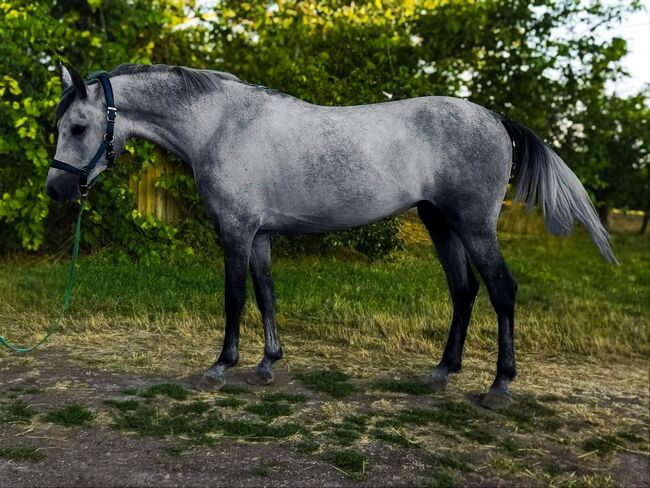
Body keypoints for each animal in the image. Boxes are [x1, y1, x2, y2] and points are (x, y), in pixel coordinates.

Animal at [46, 64, 615, 409]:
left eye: (78, 127)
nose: (56, 189)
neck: (220, 126)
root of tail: (495, 119)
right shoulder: (259, 235)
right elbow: (266, 294)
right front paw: (267, 364)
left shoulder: (235, 232)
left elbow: (234, 298)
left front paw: (221, 367)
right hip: (440, 223)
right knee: (464, 290)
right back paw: (442, 372)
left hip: (474, 226)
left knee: (501, 291)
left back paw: (499, 386)